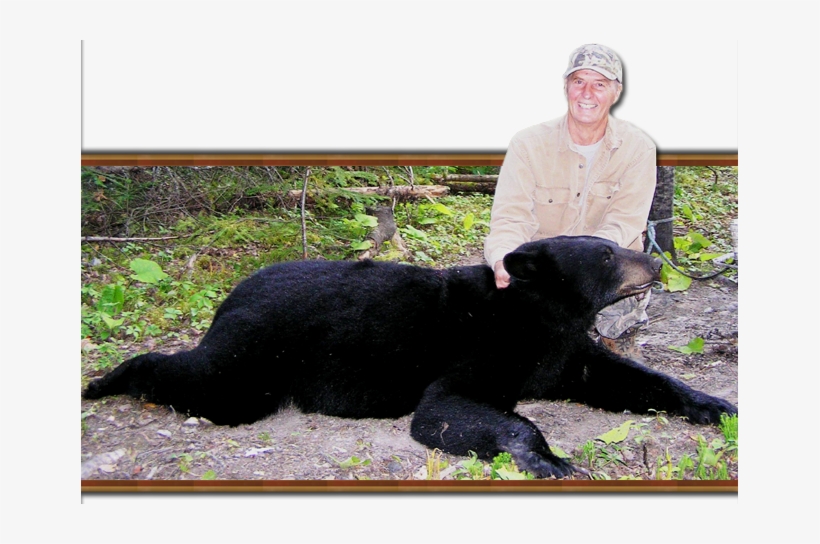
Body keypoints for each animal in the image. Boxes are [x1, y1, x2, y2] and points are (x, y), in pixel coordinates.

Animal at [83, 235, 737, 478]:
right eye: (604, 253)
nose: (654, 262)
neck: (538, 315)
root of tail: (233, 293)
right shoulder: (483, 349)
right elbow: (447, 409)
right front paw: (551, 459)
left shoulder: (563, 356)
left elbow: (630, 378)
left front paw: (716, 404)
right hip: (255, 357)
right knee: (206, 381)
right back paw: (102, 380)